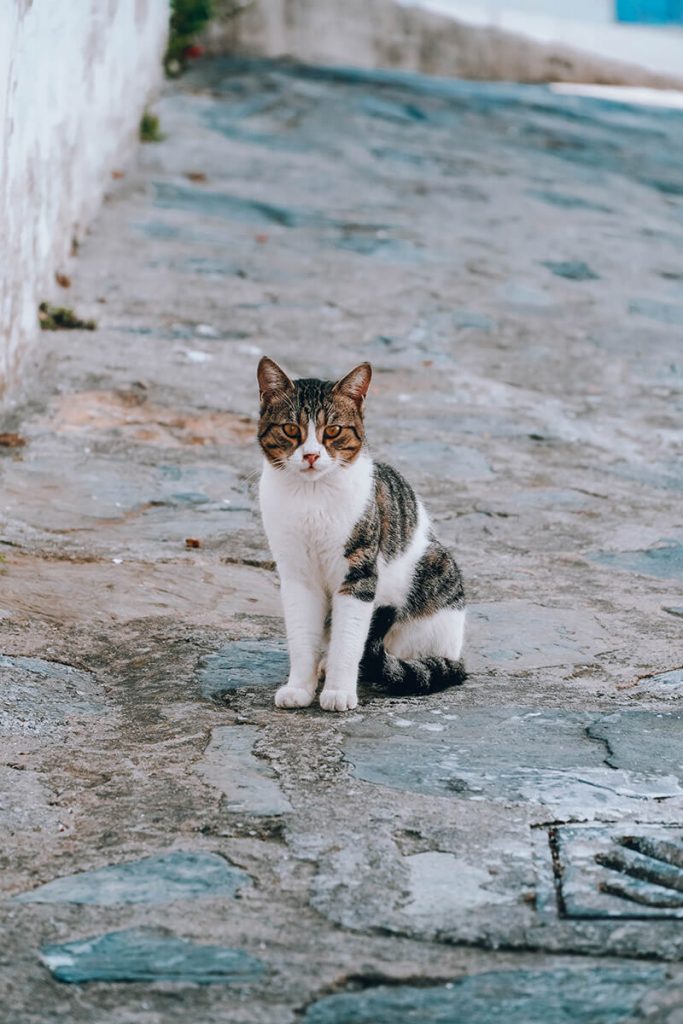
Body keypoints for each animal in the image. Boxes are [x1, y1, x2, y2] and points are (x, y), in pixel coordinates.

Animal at [255, 358, 464, 712]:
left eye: (333, 431)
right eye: (291, 429)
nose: (311, 456)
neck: (312, 497)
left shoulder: (360, 573)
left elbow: (349, 640)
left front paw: (339, 691)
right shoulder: (296, 575)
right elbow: (301, 636)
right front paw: (299, 687)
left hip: (436, 570)